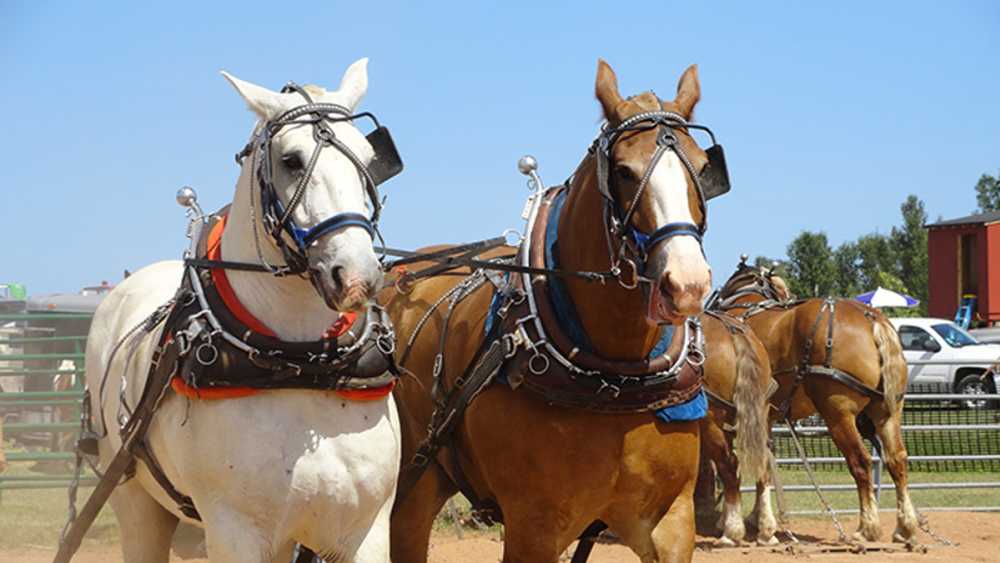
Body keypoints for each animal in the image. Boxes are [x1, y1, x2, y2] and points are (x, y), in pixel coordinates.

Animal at [84, 59, 400, 560]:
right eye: (290, 160)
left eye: (368, 159)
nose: (356, 276)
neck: (302, 368)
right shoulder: (235, 534)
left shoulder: (365, 531)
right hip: (135, 501)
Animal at [382, 59, 744, 560]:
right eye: (624, 171)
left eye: (705, 168)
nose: (687, 283)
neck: (615, 379)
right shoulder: (532, 527)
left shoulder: (670, 522)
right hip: (410, 489)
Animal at [696, 312, 772, 548]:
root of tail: (732, 331)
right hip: (760, 413)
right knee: (763, 464)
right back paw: (766, 530)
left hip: (712, 420)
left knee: (728, 467)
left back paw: (732, 531)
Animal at [708, 262, 916, 548]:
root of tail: (871, 318)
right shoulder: (764, 418)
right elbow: (765, 466)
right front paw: (760, 522)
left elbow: (738, 466)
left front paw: (742, 524)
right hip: (887, 412)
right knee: (897, 460)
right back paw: (904, 527)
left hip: (838, 414)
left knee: (860, 463)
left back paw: (866, 528)